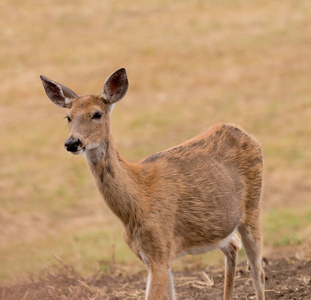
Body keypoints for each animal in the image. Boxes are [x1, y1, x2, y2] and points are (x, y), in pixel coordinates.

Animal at [40, 68, 266, 300]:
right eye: (68, 117)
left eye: (97, 114)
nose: (72, 143)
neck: (136, 203)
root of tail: (243, 132)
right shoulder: (152, 256)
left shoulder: (160, 251)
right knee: (233, 245)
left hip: (253, 207)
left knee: (258, 270)